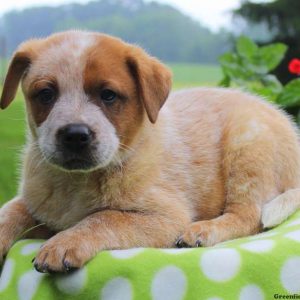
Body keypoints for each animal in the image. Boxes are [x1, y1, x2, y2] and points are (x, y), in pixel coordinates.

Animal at [0, 31, 300, 274]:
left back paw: (202, 230)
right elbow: (11, 210)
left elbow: (103, 217)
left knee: (250, 216)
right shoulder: (36, 203)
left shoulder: (165, 217)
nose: (75, 134)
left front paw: (64, 242)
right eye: (46, 94)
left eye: (108, 95)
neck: (75, 183)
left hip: (248, 148)